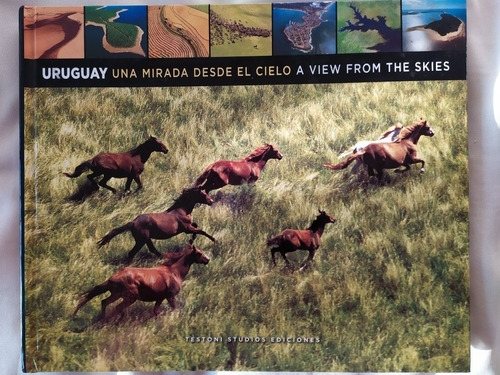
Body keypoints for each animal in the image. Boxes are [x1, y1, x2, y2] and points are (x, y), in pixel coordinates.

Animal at [72, 245, 209, 322]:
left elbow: (156, 311)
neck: (174, 272)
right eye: (199, 253)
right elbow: (175, 309)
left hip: (116, 295)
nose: (208, 259)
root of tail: (111, 279)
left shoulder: (159, 298)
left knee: (104, 302)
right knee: (117, 307)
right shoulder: (170, 296)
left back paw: (103, 319)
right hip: (130, 297)